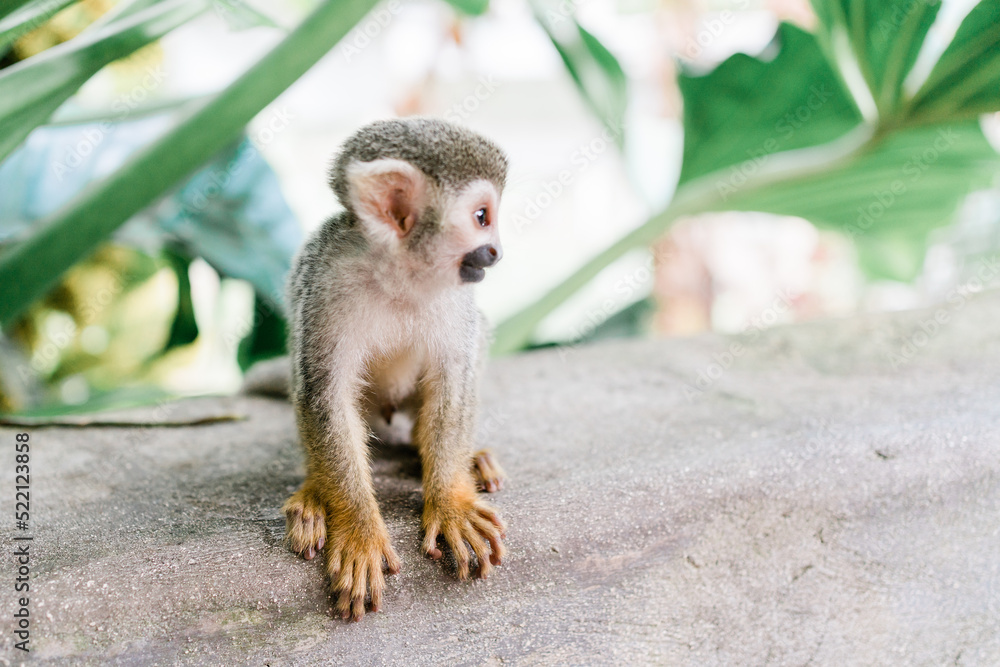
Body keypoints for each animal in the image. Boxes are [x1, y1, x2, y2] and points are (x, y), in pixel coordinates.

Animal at [279, 117, 509, 622]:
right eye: (483, 217)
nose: (497, 252)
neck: (400, 276)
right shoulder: (327, 283)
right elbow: (323, 392)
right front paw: (358, 527)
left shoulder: (456, 299)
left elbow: (455, 379)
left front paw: (451, 501)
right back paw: (315, 493)